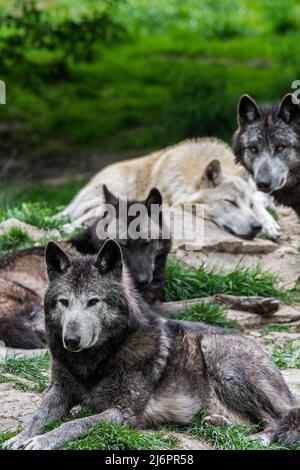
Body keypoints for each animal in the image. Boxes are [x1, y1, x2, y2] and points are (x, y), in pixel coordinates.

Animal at [4, 241, 300, 450]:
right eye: (64, 302)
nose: (71, 341)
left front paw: (41, 441)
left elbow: (75, 424)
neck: (98, 358)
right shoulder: (58, 391)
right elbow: (37, 416)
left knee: (279, 417)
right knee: (250, 421)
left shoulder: (122, 414)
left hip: (220, 358)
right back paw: (219, 423)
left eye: (93, 301)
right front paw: (20, 437)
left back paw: (260, 438)